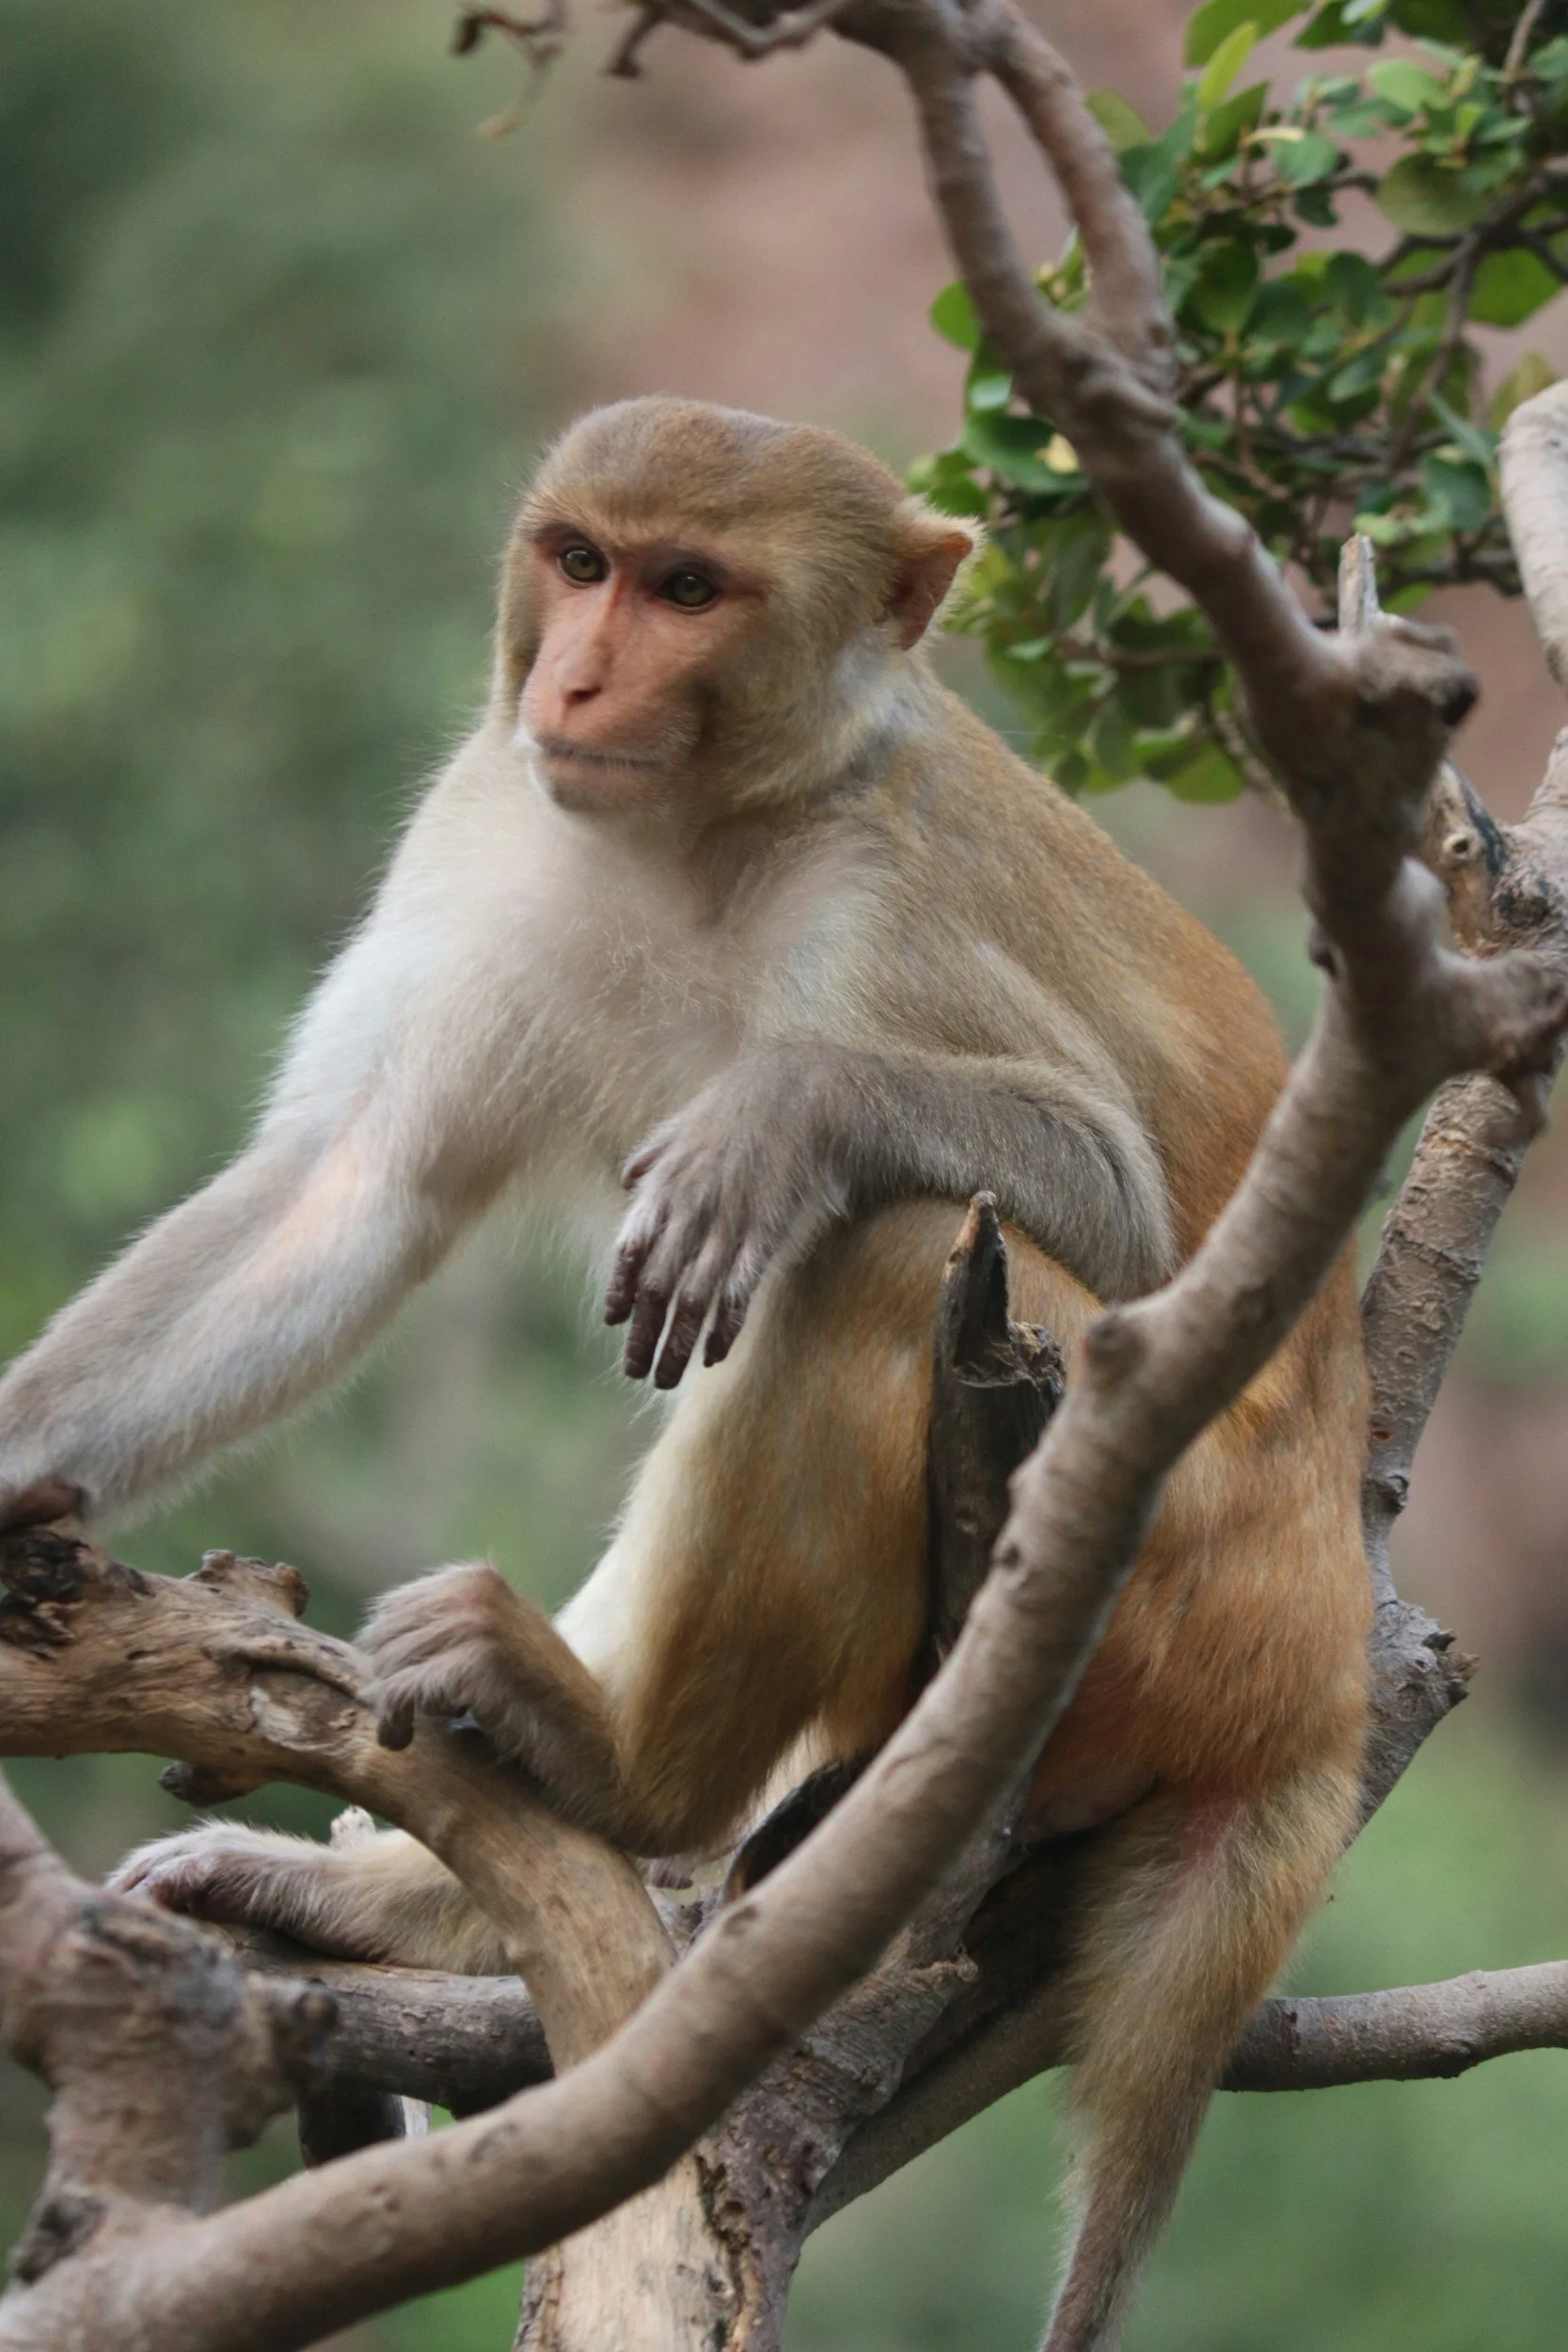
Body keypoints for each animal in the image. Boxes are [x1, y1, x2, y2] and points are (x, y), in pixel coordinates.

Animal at [0, 398, 1370, 2351]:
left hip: (1156, 1567)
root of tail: (1327, 1654)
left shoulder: (886, 908)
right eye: (582, 561)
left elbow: (1116, 1210)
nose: (576, 676)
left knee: (881, 1249)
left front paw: (784, 1117)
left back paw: (628, 1772)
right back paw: (416, 1893)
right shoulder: (493, 825)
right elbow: (354, 1191)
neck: (699, 827)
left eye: (689, 590)